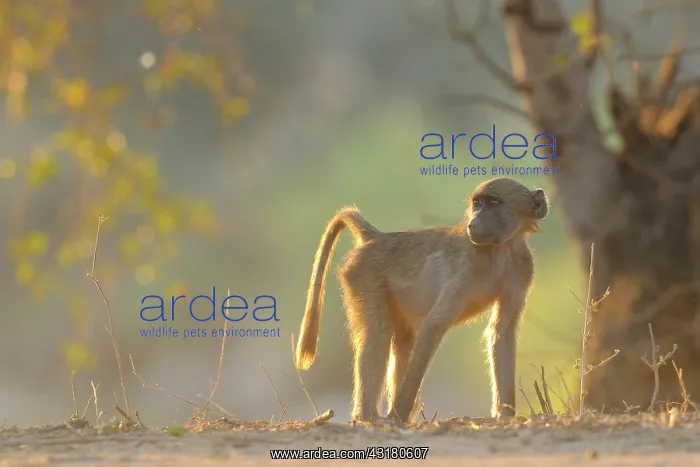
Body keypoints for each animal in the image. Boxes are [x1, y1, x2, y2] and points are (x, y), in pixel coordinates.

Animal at [294, 177, 549, 424]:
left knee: (403, 341)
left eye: (494, 203)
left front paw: (505, 415)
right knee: (378, 334)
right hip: (363, 276)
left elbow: (502, 331)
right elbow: (434, 326)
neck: (502, 249)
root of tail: (375, 238)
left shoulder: (523, 267)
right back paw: (369, 417)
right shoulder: (467, 266)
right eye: (478, 203)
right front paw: (397, 415)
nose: (473, 224)